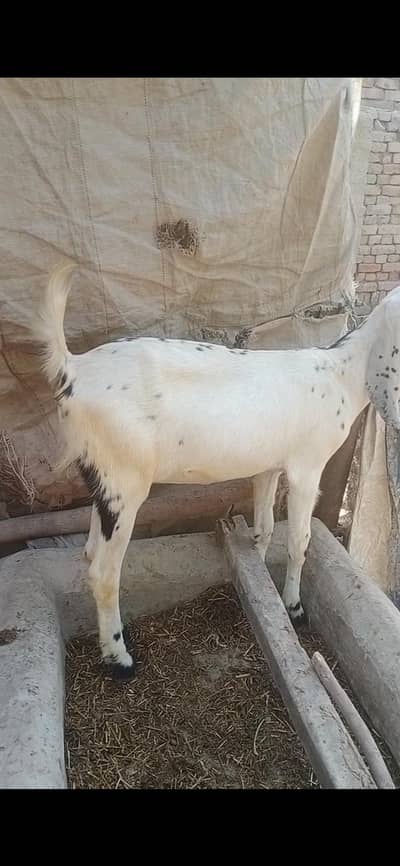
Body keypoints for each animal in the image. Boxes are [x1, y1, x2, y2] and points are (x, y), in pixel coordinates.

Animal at [33, 260, 400, 680]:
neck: (342, 373)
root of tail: (72, 367)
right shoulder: (306, 467)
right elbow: (299, 540)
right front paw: (293, 607)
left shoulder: (268, 467)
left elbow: (264, 528)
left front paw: (259, 580)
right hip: (125, 480)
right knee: (104, 572)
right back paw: (119, 659)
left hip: (102, 478)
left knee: (91, 551)